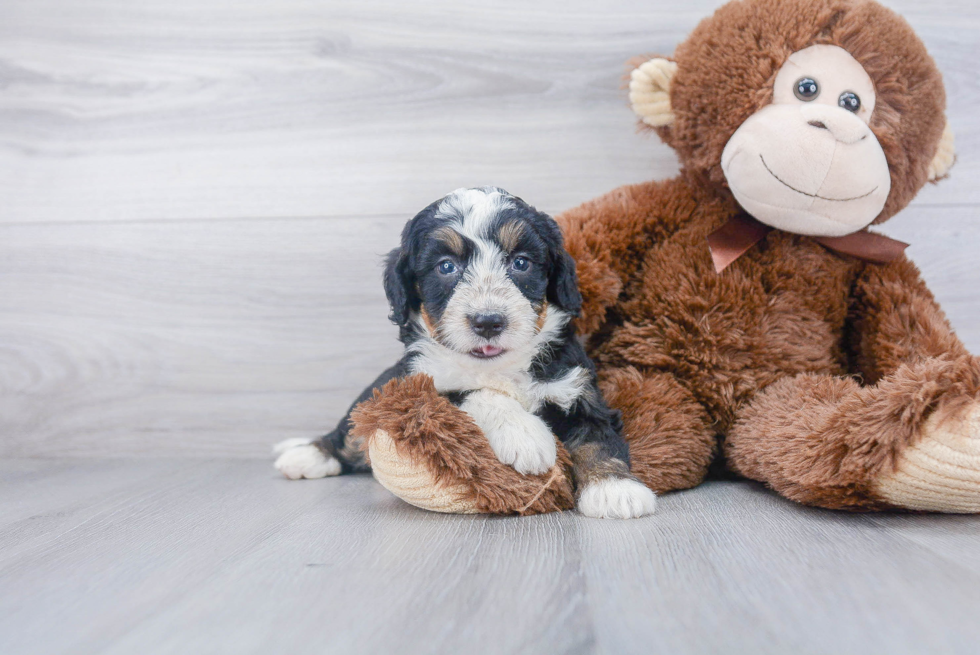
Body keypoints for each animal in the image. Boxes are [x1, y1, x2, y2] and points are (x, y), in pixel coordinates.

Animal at [274, 187, 660, 520]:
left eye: (521, 263)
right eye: (446, 266)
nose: (488, 321)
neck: (500, 366)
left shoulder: (577, 389)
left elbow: (598, 439)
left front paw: (615, 489)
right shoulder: (419, 386)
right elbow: (476, 391)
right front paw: (526, 437)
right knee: (349, 431)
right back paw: (307, 455)